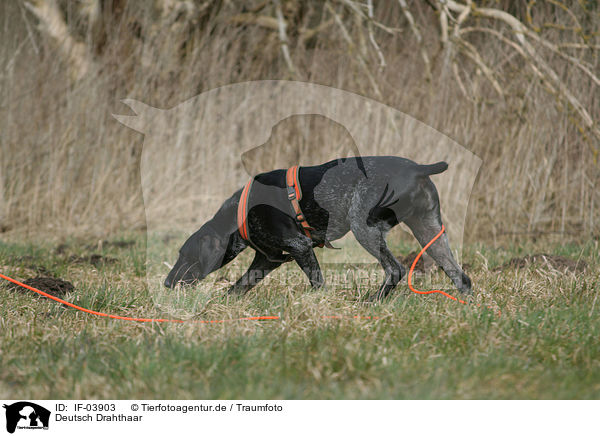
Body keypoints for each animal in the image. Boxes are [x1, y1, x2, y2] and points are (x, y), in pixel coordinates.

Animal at [165, 155, 474, 302]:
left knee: (395, 269)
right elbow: (238, 287)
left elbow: (317, 283)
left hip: (364, 226)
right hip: (430, 231)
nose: (167, 283)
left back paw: (371, 302)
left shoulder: (299, 247)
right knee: (461, 278)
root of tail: (419, 169)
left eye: (186, 256)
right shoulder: (268, 258)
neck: (242, 212)